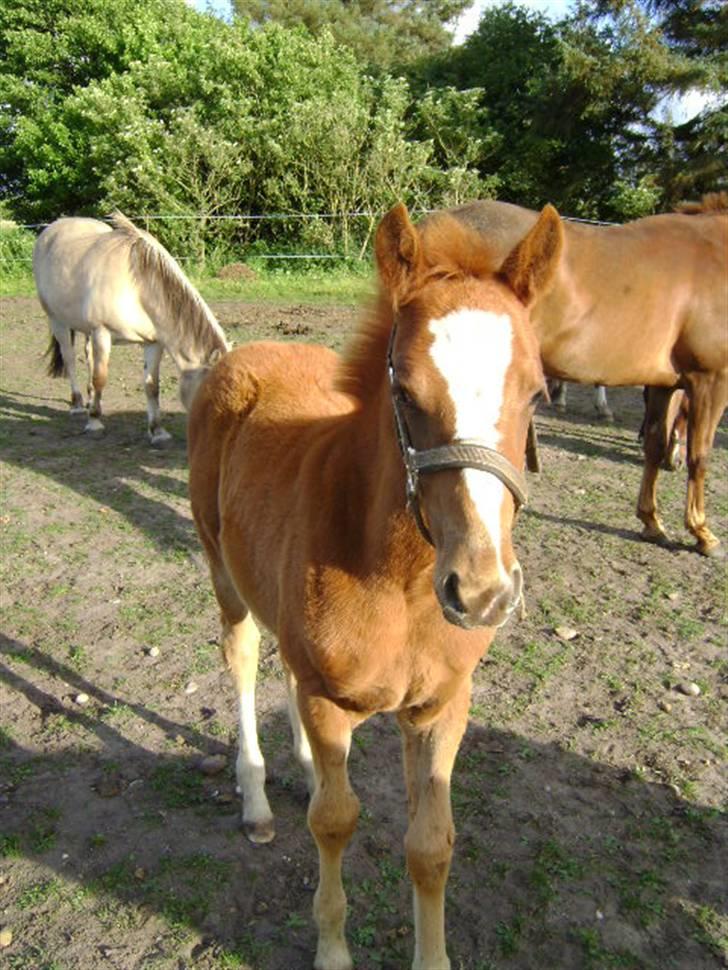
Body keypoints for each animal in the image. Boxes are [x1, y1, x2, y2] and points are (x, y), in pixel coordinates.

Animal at [32, 213, 228, 442]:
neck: (138, 287)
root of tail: (52, 228)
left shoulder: (154, 343)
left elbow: (152, 386)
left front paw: (157, 431)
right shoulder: (102, 333)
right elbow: (100, 378)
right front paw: (94, 422)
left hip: (87, 331)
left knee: (88, 357)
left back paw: (90, 399)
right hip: (58, 321)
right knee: (70, 359)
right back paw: (78, 404)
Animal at [185, 200, 560, 964]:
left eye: (537, 394)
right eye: (406, 393)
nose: (481, 592)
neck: (403, 584)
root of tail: (240, 354)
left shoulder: (441, 707)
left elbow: (431, 846)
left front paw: (432, 955)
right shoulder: (330, 700)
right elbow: (334, 821)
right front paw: (332, 948)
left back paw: (301, 766)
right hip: (223, 575)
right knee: (243, 660)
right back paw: (257, 799)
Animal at [444, 192, 728, 552]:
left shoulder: (663, 384)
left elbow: (653, 444)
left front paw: (651, 521)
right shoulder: (711, 379)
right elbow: (700, 456)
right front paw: (702, 532)